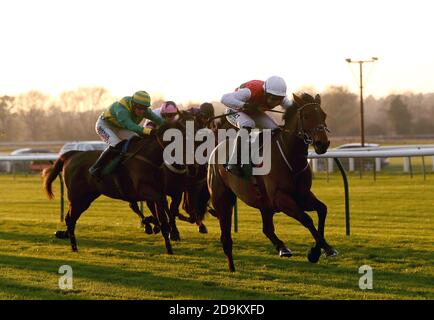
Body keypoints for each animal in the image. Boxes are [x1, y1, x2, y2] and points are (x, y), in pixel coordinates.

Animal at [42, 112, 195, 255]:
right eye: (177, 139)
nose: (191, 161)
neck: (148, 158)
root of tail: (72, 155)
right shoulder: (145, 191)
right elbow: (162, 205)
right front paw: (165, 228)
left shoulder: (159, 191)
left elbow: (164, 211)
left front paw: (168, 236)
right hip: (77, 197)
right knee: (70, 219)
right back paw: (73, 246)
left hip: (86, 198)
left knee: (71, 218)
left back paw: (69, 240)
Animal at [208, 93, 340, 272]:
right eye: (306, 116)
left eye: (324, 115)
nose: (322, 144)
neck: (290, 158)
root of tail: (216, 147)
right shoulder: (281, 198)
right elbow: (306, 218)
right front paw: (315, 252)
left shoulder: (303, 195)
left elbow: (322, 210)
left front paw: (324, 249)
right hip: (223, 199)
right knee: (226, 236)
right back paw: (232, 267)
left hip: (264, 204)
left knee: (267, 229)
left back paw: (282, 248)